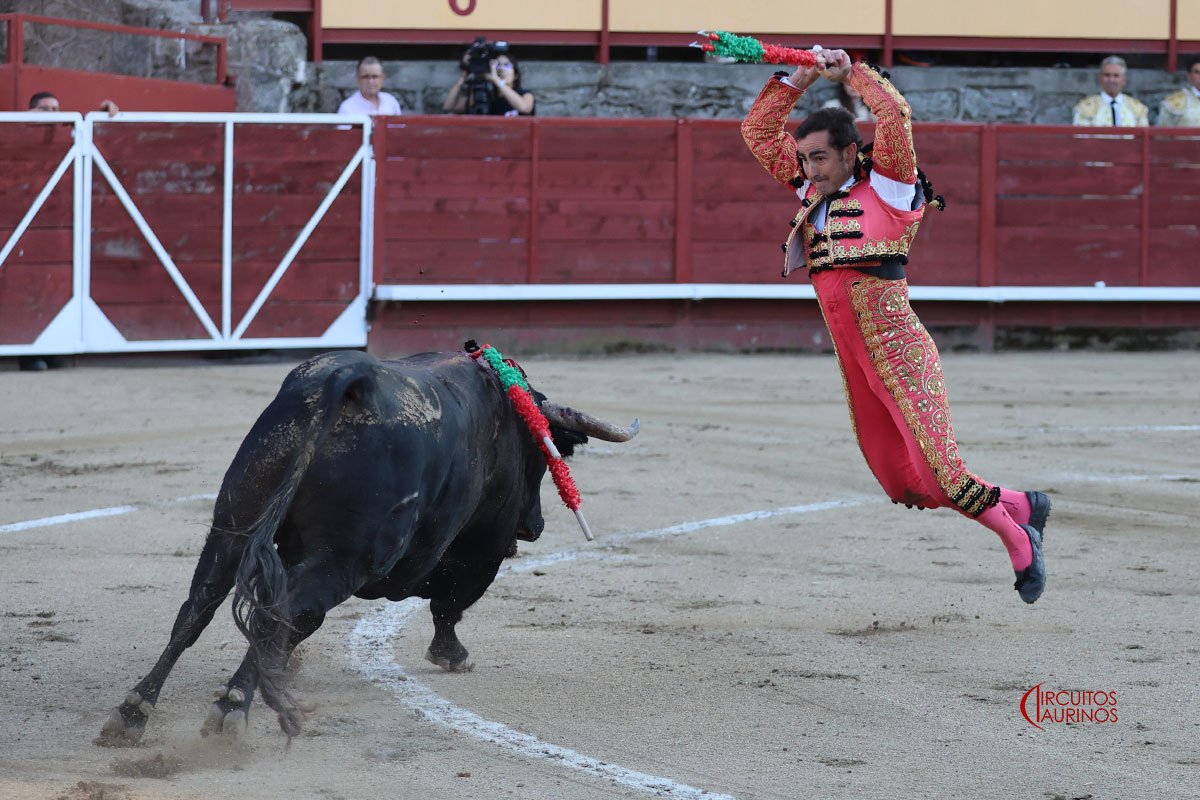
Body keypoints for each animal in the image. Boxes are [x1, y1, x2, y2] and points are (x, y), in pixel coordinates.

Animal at [98, 348, 638, 744]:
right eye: (544, 458)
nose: (535, 526)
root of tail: (346, 379)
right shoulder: (478, 550)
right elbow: (449, 604)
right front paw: (453, 655)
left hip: (233, 524)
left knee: (198, 607)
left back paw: (133, 712)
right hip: (345, 558)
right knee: (279, 611)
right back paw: (231, 709)